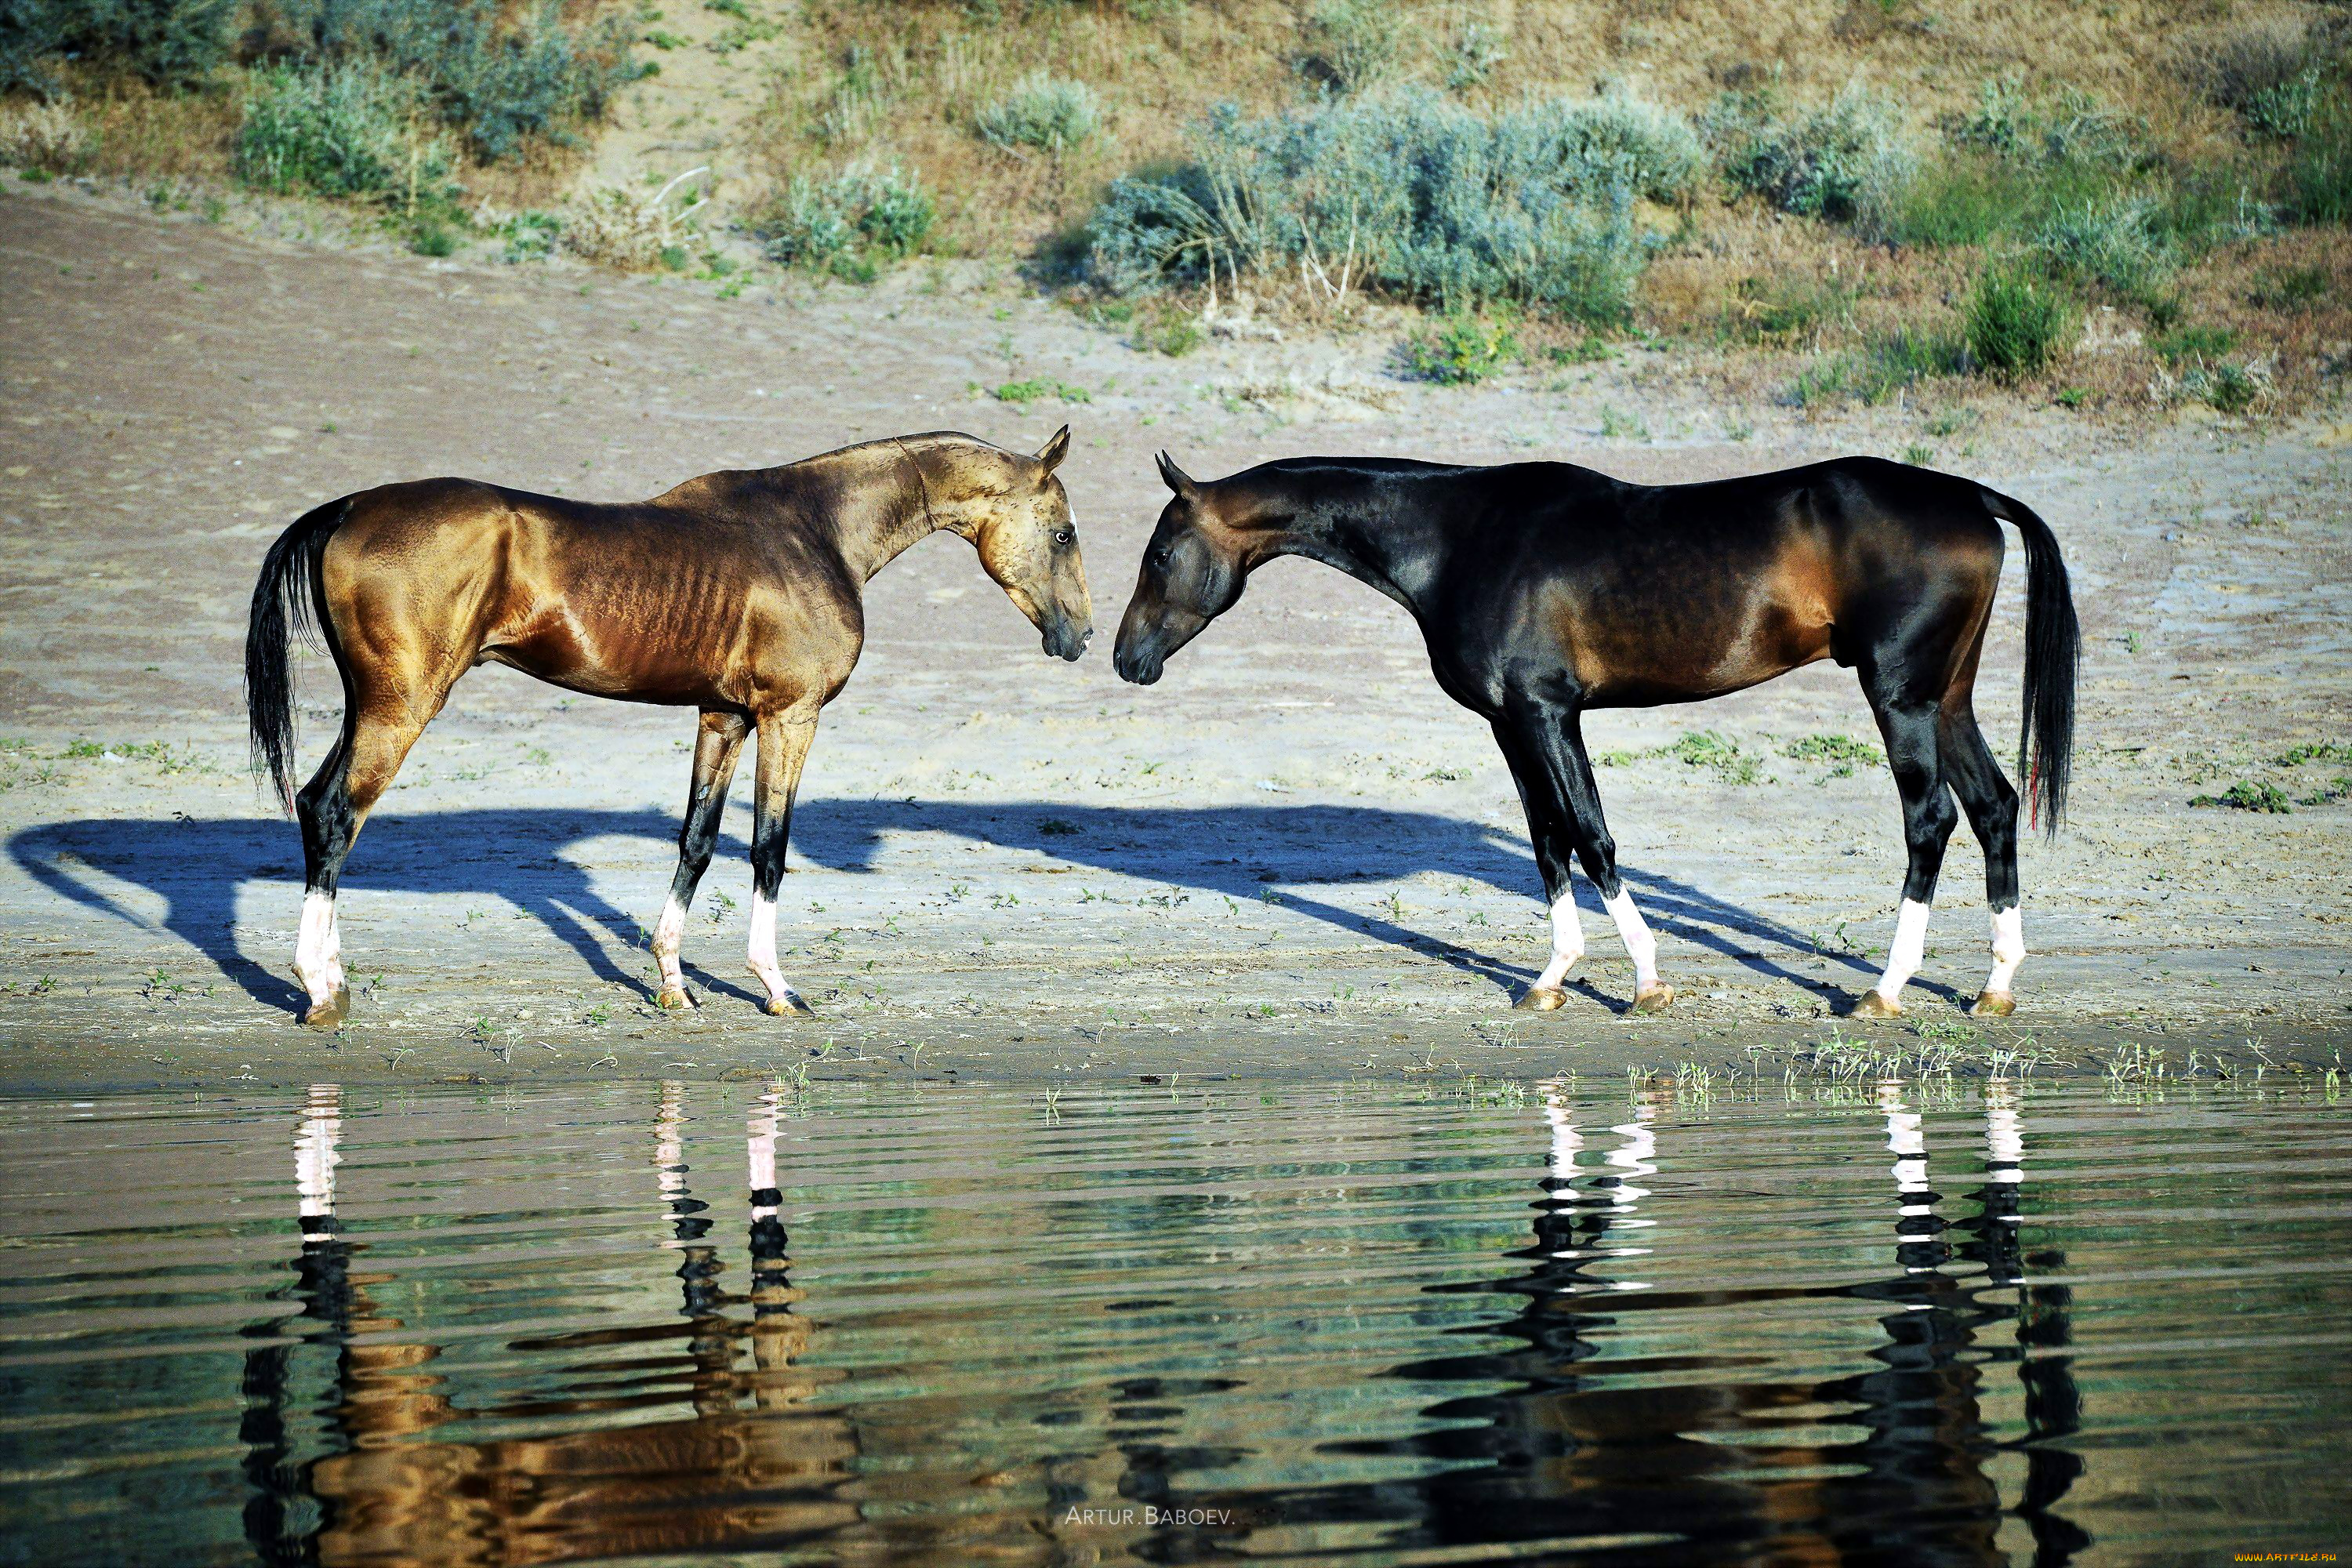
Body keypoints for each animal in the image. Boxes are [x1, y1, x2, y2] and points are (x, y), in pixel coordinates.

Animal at [248, 425, 1091, 1029]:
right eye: (1062, 533)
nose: (1080, 636)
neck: (815, 530)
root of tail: (350, 507)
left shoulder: (725, 717)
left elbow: (697, 841)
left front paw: (674, 983)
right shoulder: (789, 716)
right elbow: (768, 848)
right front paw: (776, 987)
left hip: (371, 703)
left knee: (317, 807)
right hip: (403, 705)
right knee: (335, 811)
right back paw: (319, 988)